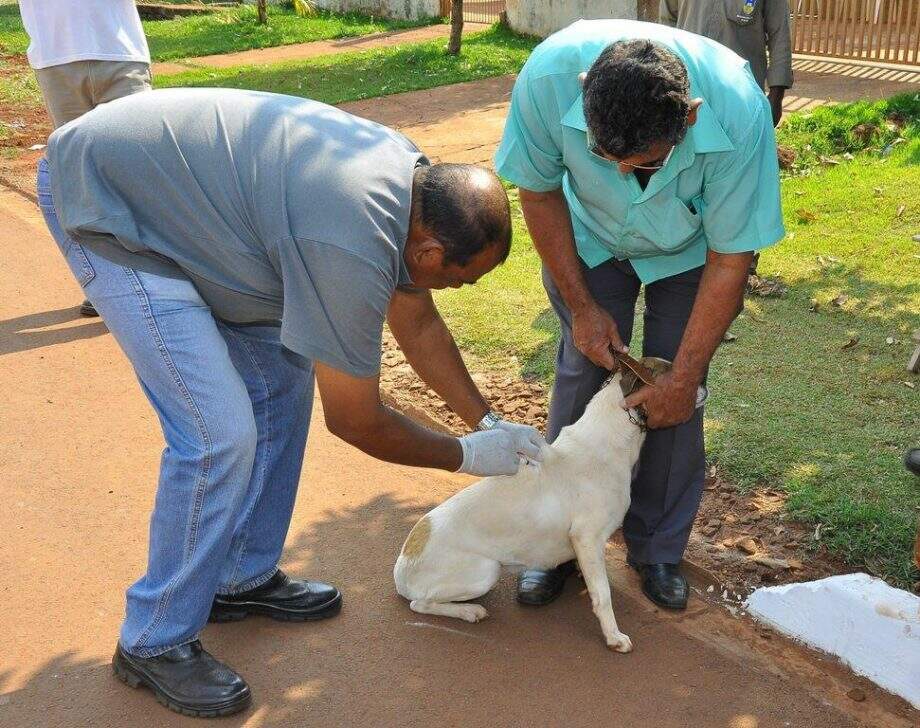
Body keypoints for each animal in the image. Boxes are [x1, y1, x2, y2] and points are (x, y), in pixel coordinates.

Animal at [394, 366, 648, 652]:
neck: (606, 441)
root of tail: (402, 566)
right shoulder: (587, 538)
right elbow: (603, 594)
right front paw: (613, 636)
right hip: (486, 571)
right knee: (419, 603)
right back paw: (469, 611)